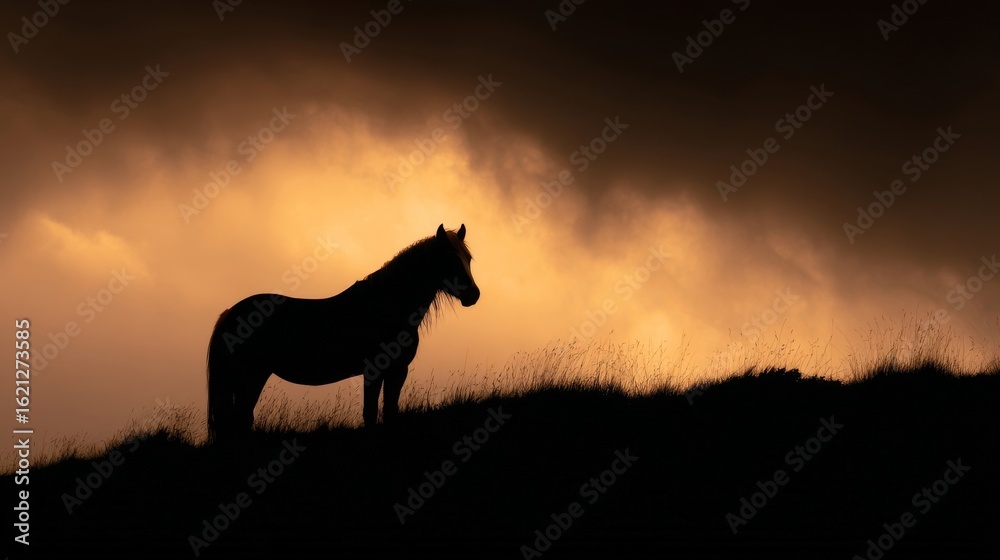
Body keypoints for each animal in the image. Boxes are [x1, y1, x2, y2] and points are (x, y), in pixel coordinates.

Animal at [206, 224, 480, 442]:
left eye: (468, 258)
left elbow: (390, 413)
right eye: (449, 258)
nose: (473, 295)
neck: (386, 306)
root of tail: (230, 313)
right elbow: (370, 414)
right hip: (251, 375)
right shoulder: (374, 370)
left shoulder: (398, 371)